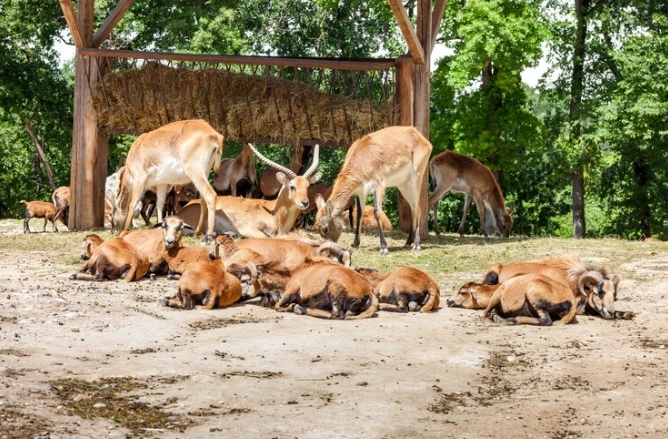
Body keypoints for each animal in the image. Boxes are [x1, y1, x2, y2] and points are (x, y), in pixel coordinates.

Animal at [314, 124, 430, 254]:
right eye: (316, 227)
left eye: (325, 228)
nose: (325, 246)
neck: (362, 161)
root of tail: (421, 137)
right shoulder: (361, 192)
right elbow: (360, 213)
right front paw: (355, 243)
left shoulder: (379, 186)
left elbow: (377, 212)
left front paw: (384, 247)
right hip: (403, 184)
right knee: (413, 208)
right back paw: (408, 242)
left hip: (416, 177)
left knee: (418, 207)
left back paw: (416, 245)